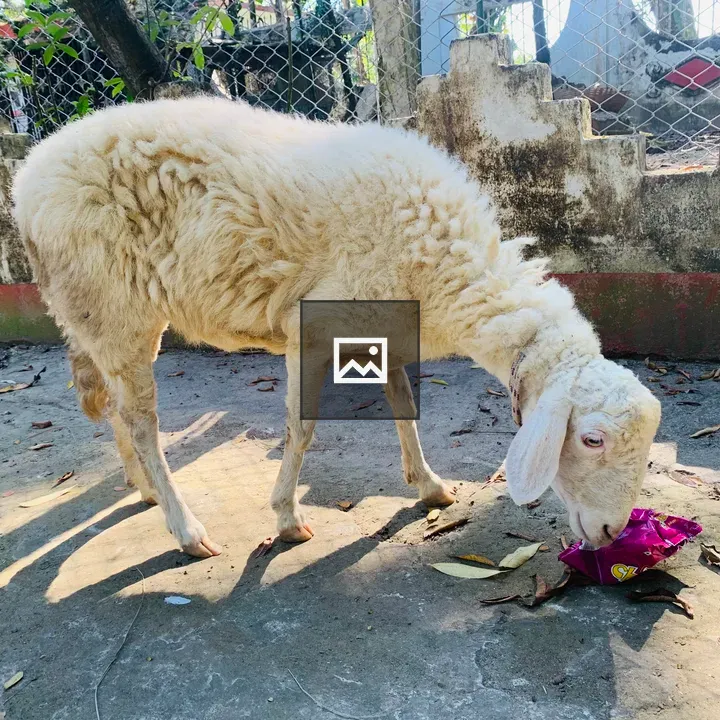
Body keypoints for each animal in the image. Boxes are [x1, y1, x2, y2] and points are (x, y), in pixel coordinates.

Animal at [12, 96, 661, 558]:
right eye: (592, 439)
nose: (612, 531)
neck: (446, 270)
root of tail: (26, 180)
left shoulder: (386, 323)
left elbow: (403, 402)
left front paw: (428, 485)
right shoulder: (315, 327)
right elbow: (301, 430)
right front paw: (285, 516)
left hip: (97, 315)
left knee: (118, 408)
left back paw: (142, 487)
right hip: (112, 304)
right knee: (143, 423)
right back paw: (185, 528)